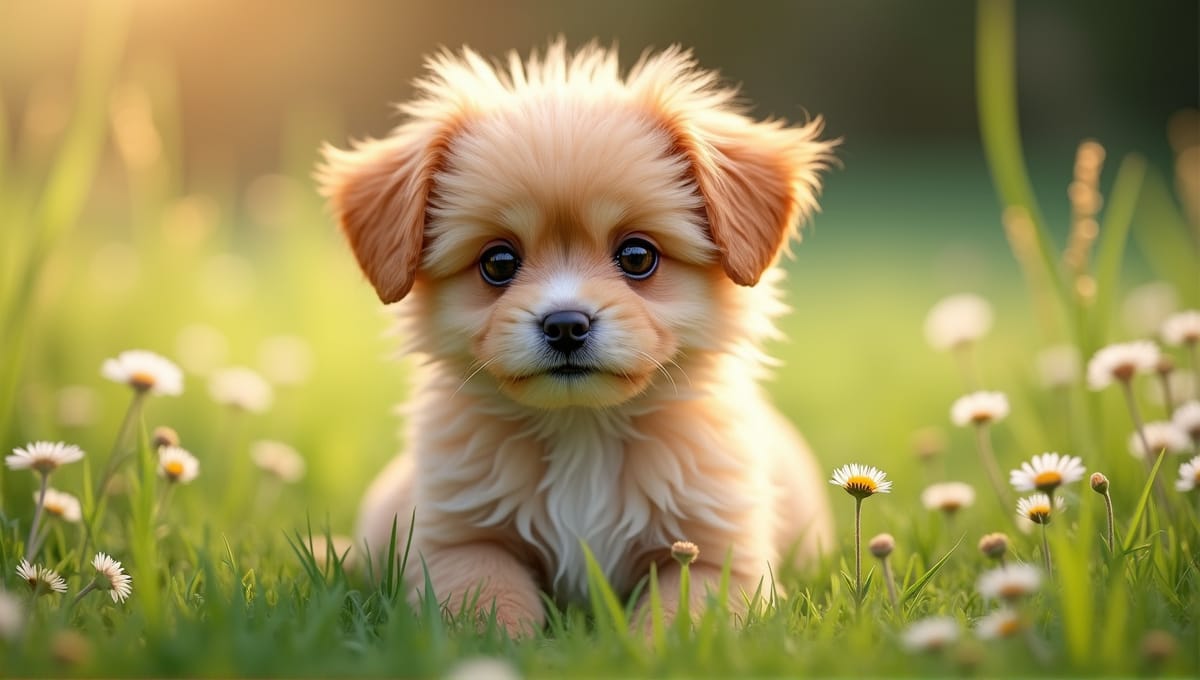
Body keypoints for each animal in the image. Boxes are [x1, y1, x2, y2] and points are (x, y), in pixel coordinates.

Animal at [324, 43, 840, 638]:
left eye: (637, 257)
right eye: (498, 263)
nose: (566, 324)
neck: (582, 430)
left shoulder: (720, 557)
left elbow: (677, 616)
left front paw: (649, 647)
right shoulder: (458, 541)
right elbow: (488, 599)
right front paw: (505, 644)